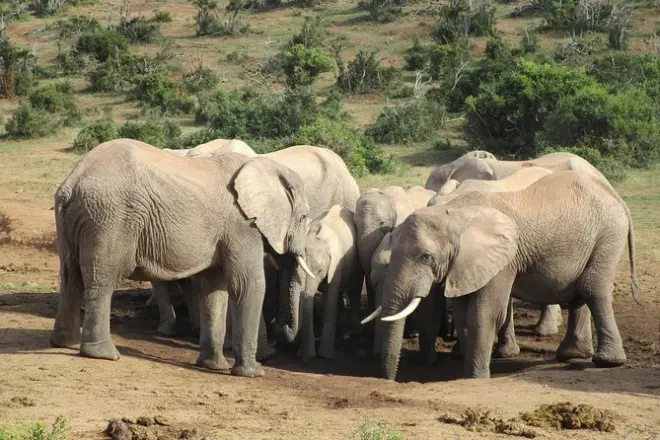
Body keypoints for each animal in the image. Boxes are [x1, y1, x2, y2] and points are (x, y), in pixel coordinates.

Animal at [49, 139, 312, 378]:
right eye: (304, 217)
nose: (281, 336)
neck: (265, 165)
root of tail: (74, 179)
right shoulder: (242, 226)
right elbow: (247, 284)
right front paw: (253, 373)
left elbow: (213, 289)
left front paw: (213, 367)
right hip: (109, 217)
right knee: (102, 279)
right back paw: (102, 354)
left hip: (77, 218)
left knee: (70, 275)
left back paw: (65, 343)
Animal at [371, 170, 639, 380]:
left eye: (426, 257)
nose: (389, 380)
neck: (454, 214)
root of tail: (614, 194)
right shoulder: (464, 264)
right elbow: (463, 311)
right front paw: (465, 370)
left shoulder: (502, 260)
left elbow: (484, 314)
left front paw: (475, 378)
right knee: (579, 293)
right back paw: (571, 355)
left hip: (608, 235)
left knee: (593, 289)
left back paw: (607, 362)